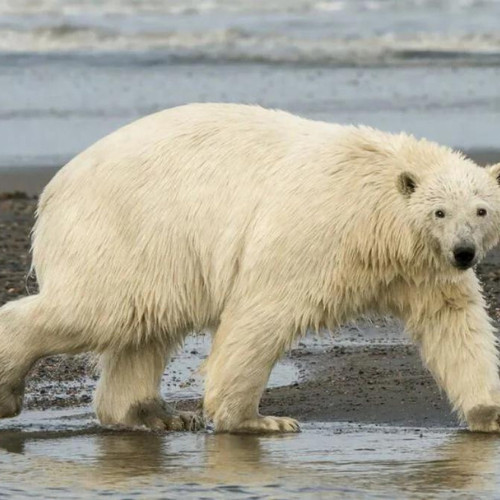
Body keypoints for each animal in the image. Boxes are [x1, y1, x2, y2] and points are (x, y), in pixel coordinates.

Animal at [0, 103, 500, 432]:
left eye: (481, 210)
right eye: (439, 211)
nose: (464, 252)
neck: (375, 218)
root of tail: (54, 188)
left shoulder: (423, 268)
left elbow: (454, 323)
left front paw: (488, 414)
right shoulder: (315, 235)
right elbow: (264, 312)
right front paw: (257, 420)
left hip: (156, 254)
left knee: (146, 325)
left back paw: (155, 414)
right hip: (125, 230)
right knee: (98, 310)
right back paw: (10, 390)